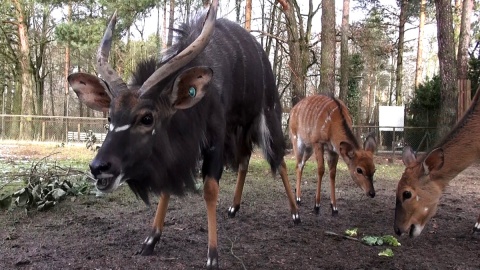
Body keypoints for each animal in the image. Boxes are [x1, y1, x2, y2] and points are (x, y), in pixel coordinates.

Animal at [68, 0, 300, 268]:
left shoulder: (216, 139)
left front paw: (212, 255)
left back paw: (295, 213)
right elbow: (167, 186)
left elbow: (210, 189)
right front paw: (151, 239)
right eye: (109, 117)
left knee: (279, 159)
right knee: (244, 160)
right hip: (241, 129)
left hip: (267, 116)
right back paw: (234, 207)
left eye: (147, 118)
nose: (99, 167)